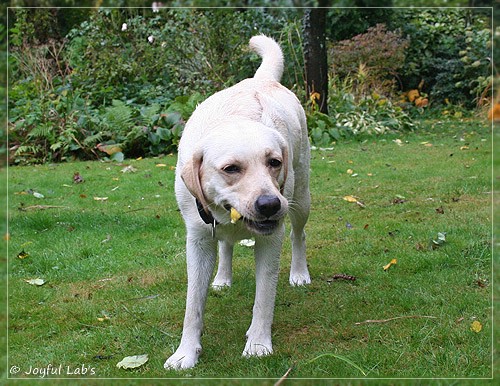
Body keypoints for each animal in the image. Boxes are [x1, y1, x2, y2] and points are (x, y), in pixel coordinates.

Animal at [164, 34, 310, 370]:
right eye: (231, 169)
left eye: (274, 162)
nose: (270, 205)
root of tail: (261, 79)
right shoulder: (197, 240)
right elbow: (193, 306)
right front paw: (185, 352)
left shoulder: (271, 240)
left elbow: (264, 298)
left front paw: (257, 343)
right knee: (226, 245)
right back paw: (222, 278)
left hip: (301, 200)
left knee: (298, 234)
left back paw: (299, 273)